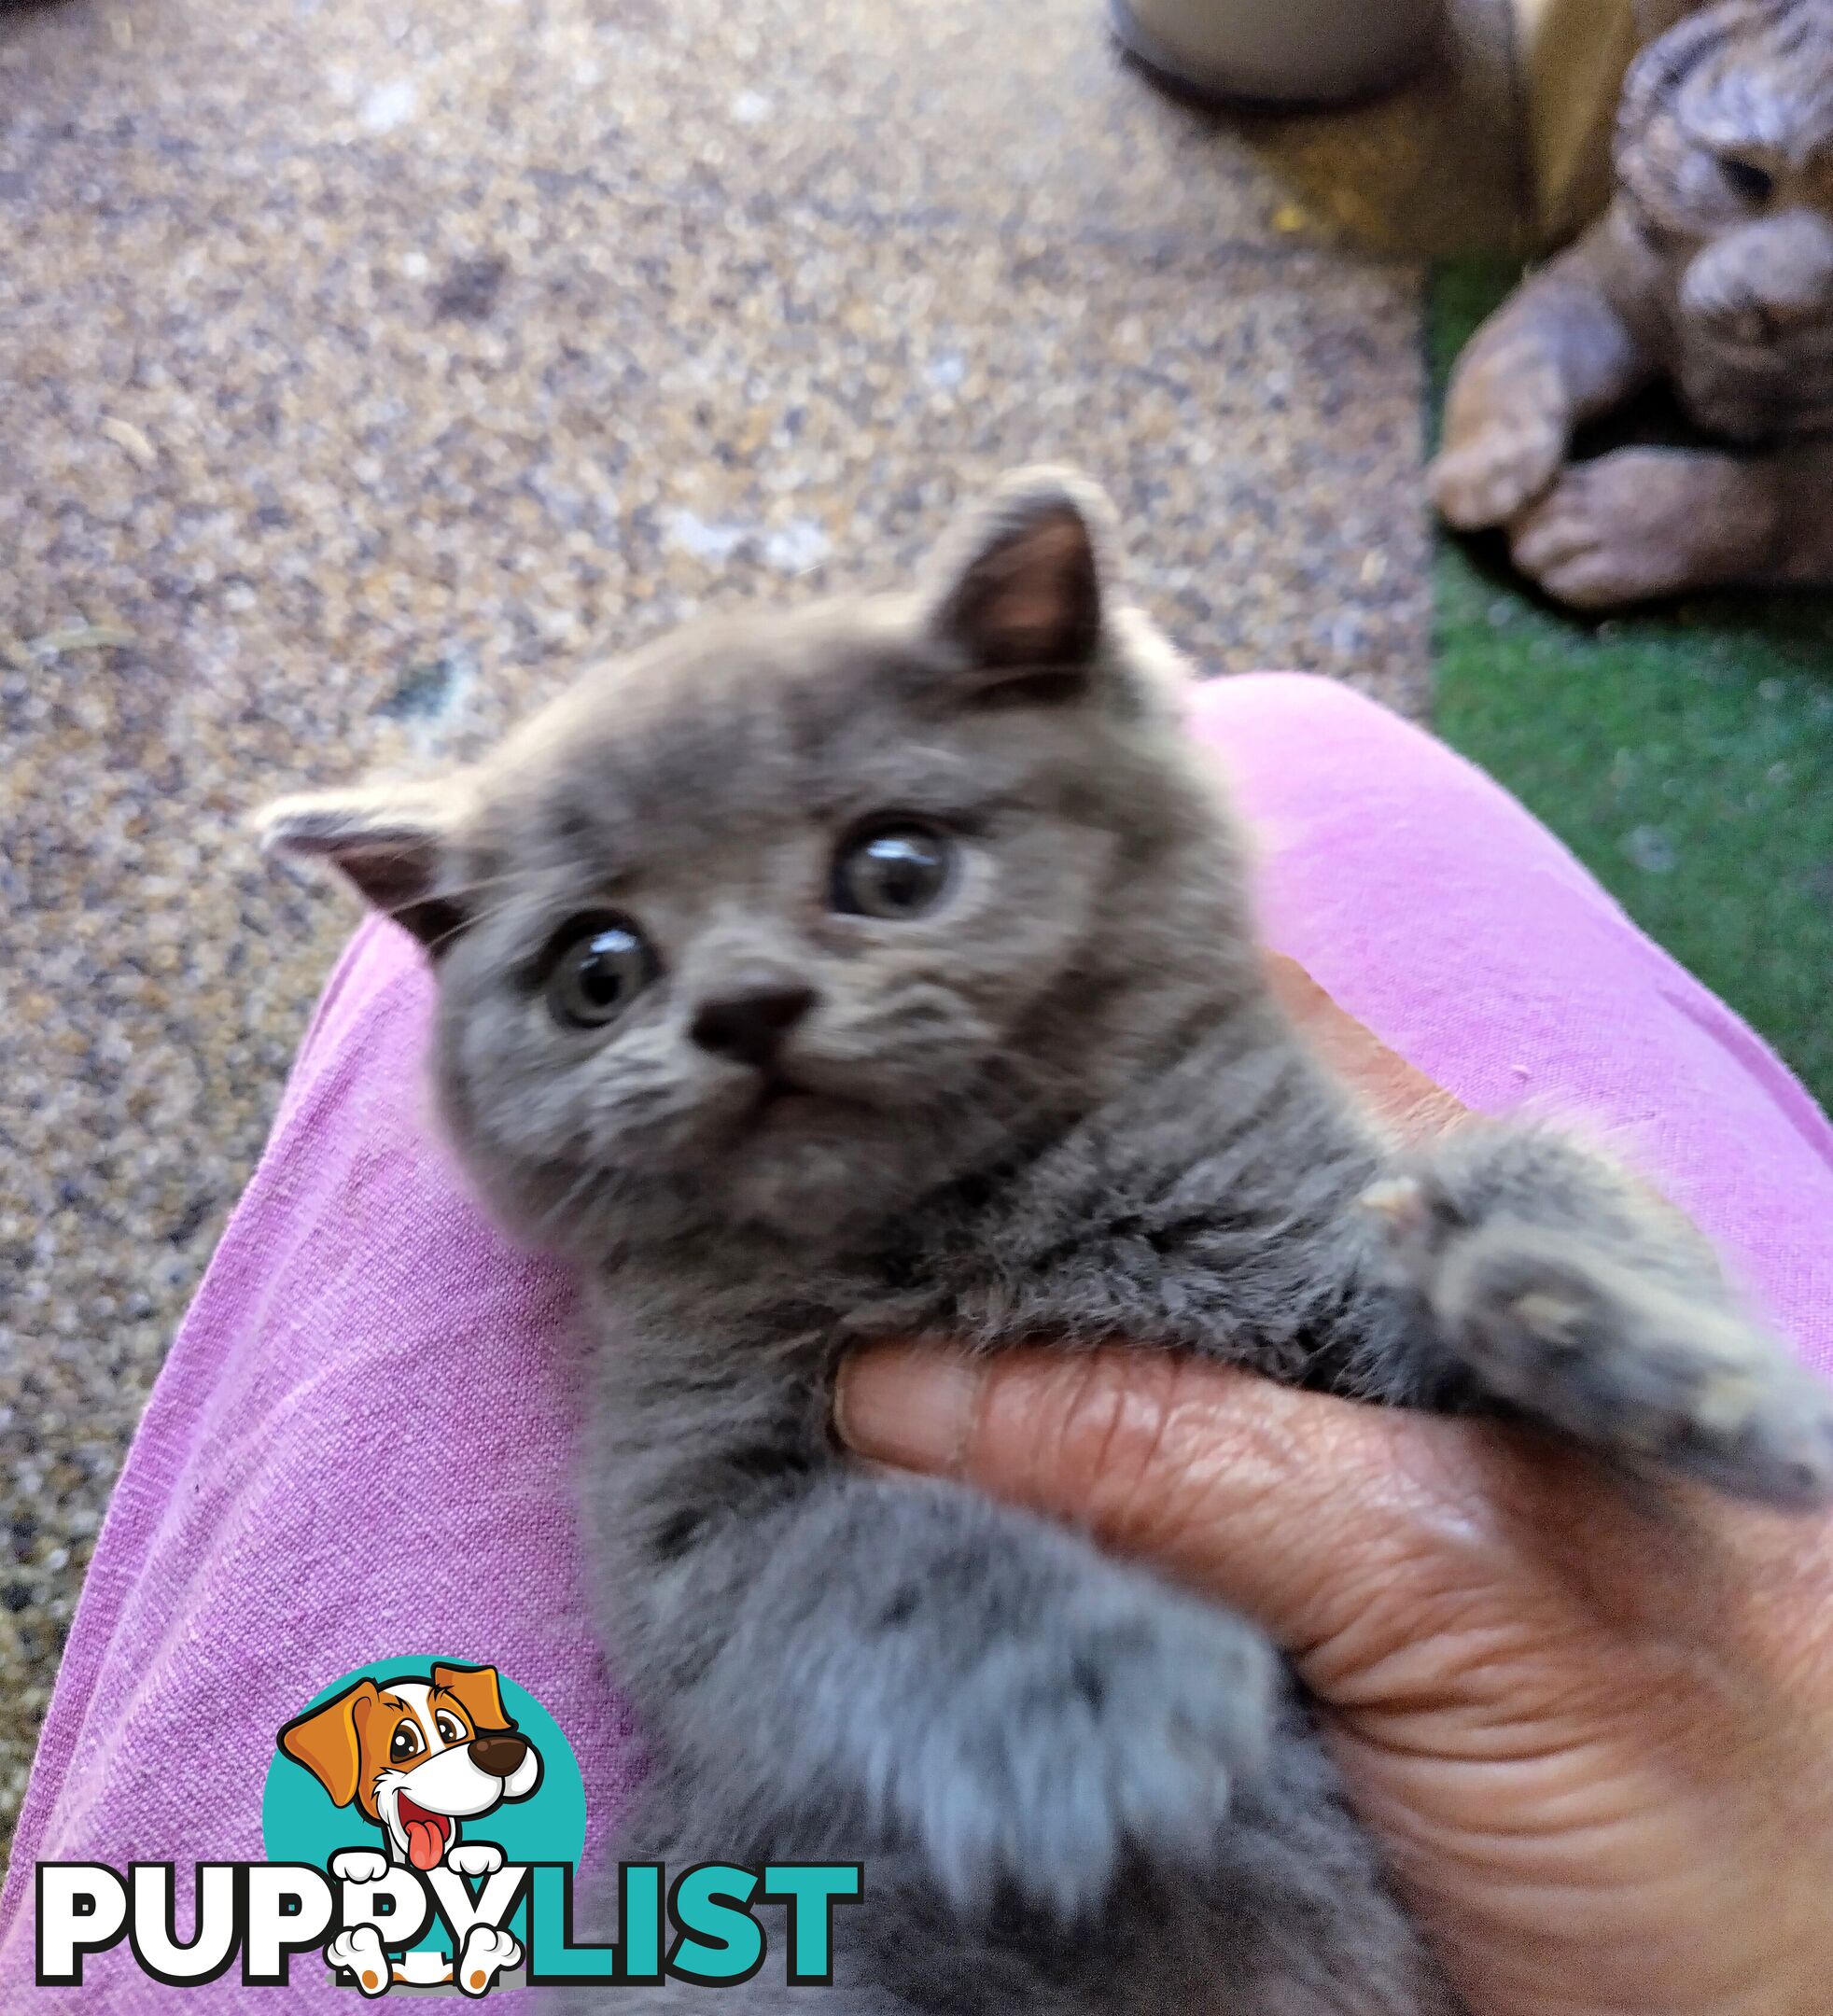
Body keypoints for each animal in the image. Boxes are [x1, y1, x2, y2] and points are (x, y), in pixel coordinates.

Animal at [259, 463, 1830, 2008]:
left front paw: (1656, 1347)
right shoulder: (683, 1519)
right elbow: (887, 1544)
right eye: (597, 973)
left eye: (896, 867)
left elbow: (1531, 1175)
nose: (748, 1006)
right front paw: (1100, 1706)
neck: (977, 1223)